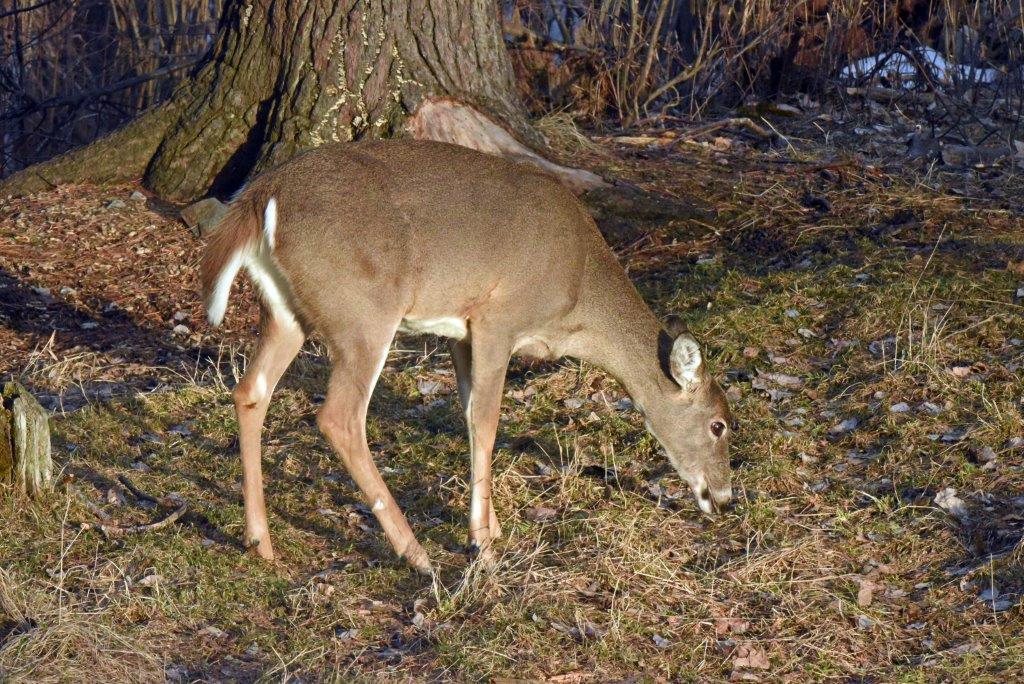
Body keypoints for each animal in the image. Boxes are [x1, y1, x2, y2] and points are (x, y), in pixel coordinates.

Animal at [200, 139, 734, 574]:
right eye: (719, 425)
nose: (725, 498)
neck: (579, 293)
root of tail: (264, 193)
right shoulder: (499, 317)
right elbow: (487, 418)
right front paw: (484, 544)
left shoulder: (462, 331)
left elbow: (468, 409)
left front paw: (492, 526)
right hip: (362, 310)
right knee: (339, 417)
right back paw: (415, 554)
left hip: (285, 309)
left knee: (250, 391)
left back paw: (260, 542)